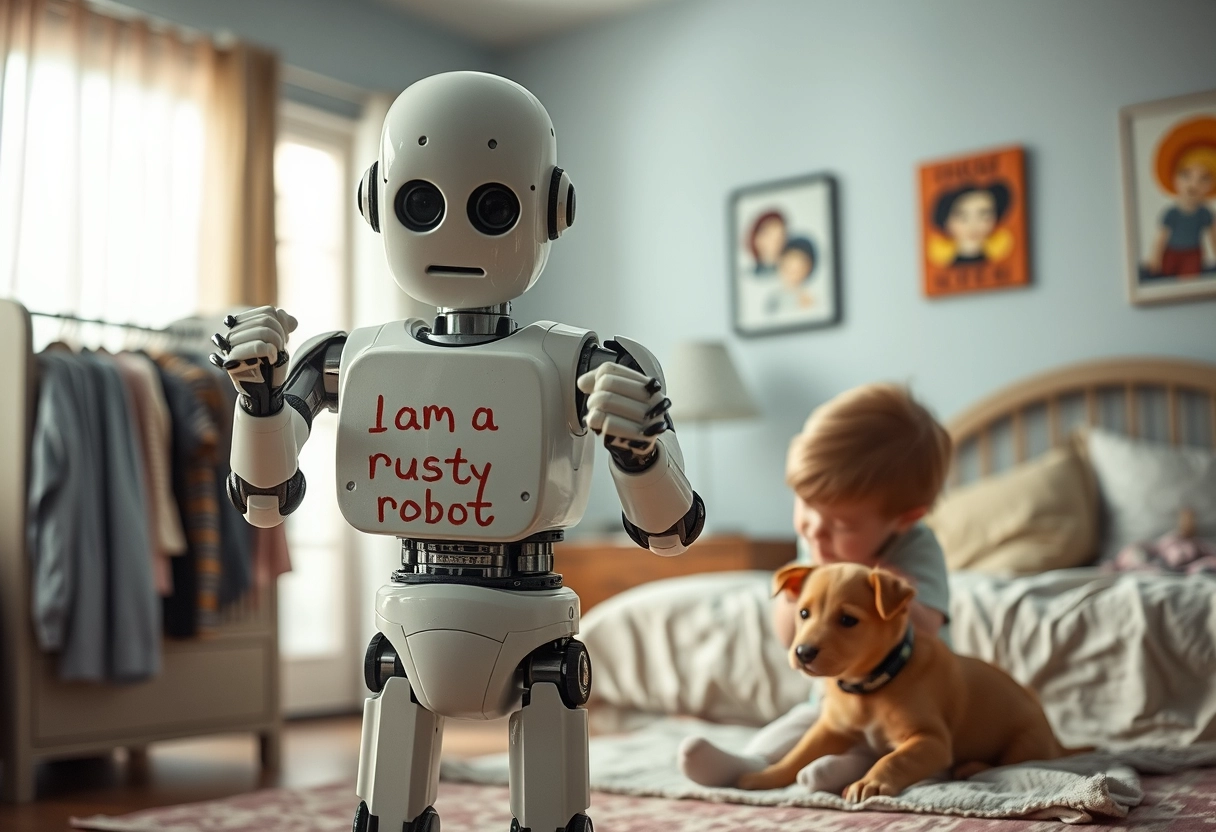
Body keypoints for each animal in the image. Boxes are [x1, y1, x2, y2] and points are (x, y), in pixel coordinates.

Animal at [734, 561, 1079, 802]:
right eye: (803, 613)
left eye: (847, 620)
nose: (803, 652)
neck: (871, 687)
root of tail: (1057, 742)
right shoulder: (830, 728)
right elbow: (799, 753)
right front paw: (766, 777)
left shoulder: (930, 740)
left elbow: (895, 758)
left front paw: (870, 781)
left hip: (1024, 742)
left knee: (1006, 763)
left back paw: (971, 767)